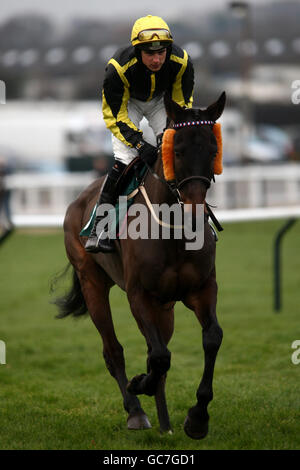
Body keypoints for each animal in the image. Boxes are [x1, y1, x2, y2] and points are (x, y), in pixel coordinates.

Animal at [54, 92, 226, 440]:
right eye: (178, 151)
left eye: (213, 150)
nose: (195, 212)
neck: (174, 233)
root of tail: (79, 198)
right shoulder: (140, 295)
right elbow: (158, 356)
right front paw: (138, 385)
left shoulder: (202, 289)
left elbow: (210, 338)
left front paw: (197, 417)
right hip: (92, 282)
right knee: (114, 351)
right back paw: (136, 411)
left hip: (166, 306)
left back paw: (164, 421)